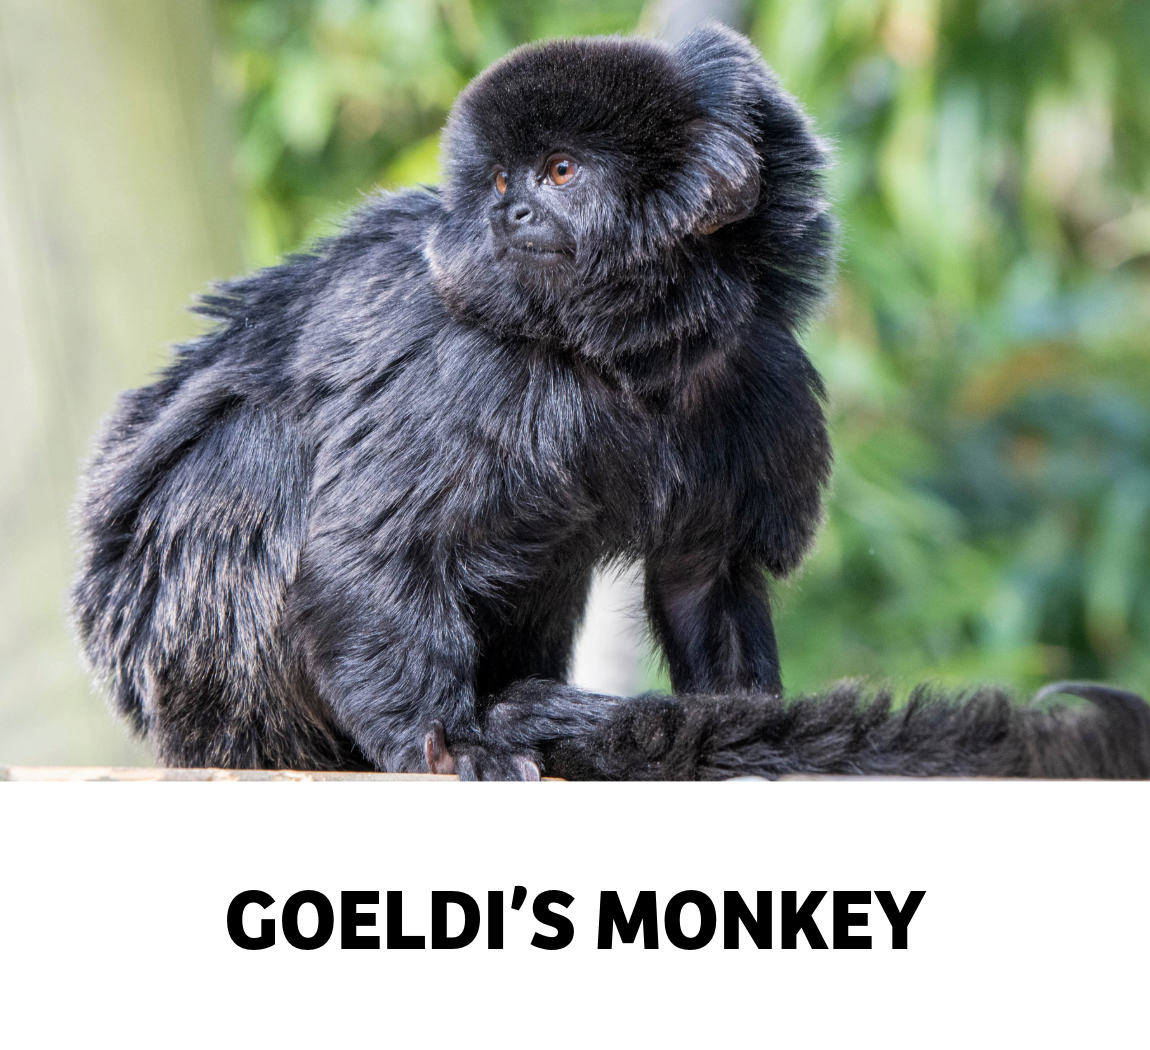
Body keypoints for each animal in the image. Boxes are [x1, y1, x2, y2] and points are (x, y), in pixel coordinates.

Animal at [70, 25, 1150, 780]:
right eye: (503, 181)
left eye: (558, 174)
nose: (511, 212)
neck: (620, 354)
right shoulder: (459, 359)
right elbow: (372, 549)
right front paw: (445, 742)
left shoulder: (756, 374)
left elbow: (703, 572)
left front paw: (738, 717)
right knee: (254, 461)